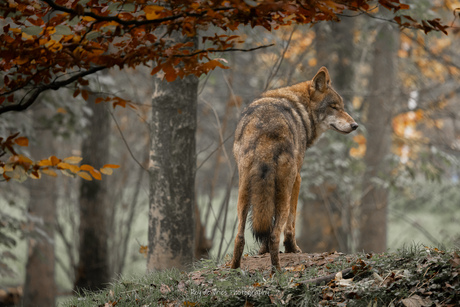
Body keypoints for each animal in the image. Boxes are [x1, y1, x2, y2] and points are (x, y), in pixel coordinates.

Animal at [232, 65, 358, 272]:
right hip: (283, 190)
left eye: (342, 107)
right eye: (334, 107)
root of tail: (265, 131)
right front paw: (292, 248)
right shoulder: (298, 179)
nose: (355, 125)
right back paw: (278, 271)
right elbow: (290, 223)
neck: (301, 109)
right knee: (275, 234)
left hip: (243, 192)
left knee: (240, 236)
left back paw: (234, 269)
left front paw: (262, 251)